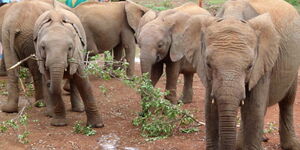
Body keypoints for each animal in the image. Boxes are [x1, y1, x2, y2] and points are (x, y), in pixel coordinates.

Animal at [171, 0, 300, 149]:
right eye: (208, 65)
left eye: (250, 66)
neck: (232, 16)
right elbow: (210, 110)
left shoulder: (263, 64)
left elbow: (254, 110)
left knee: (287, 102)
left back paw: (291, 145)